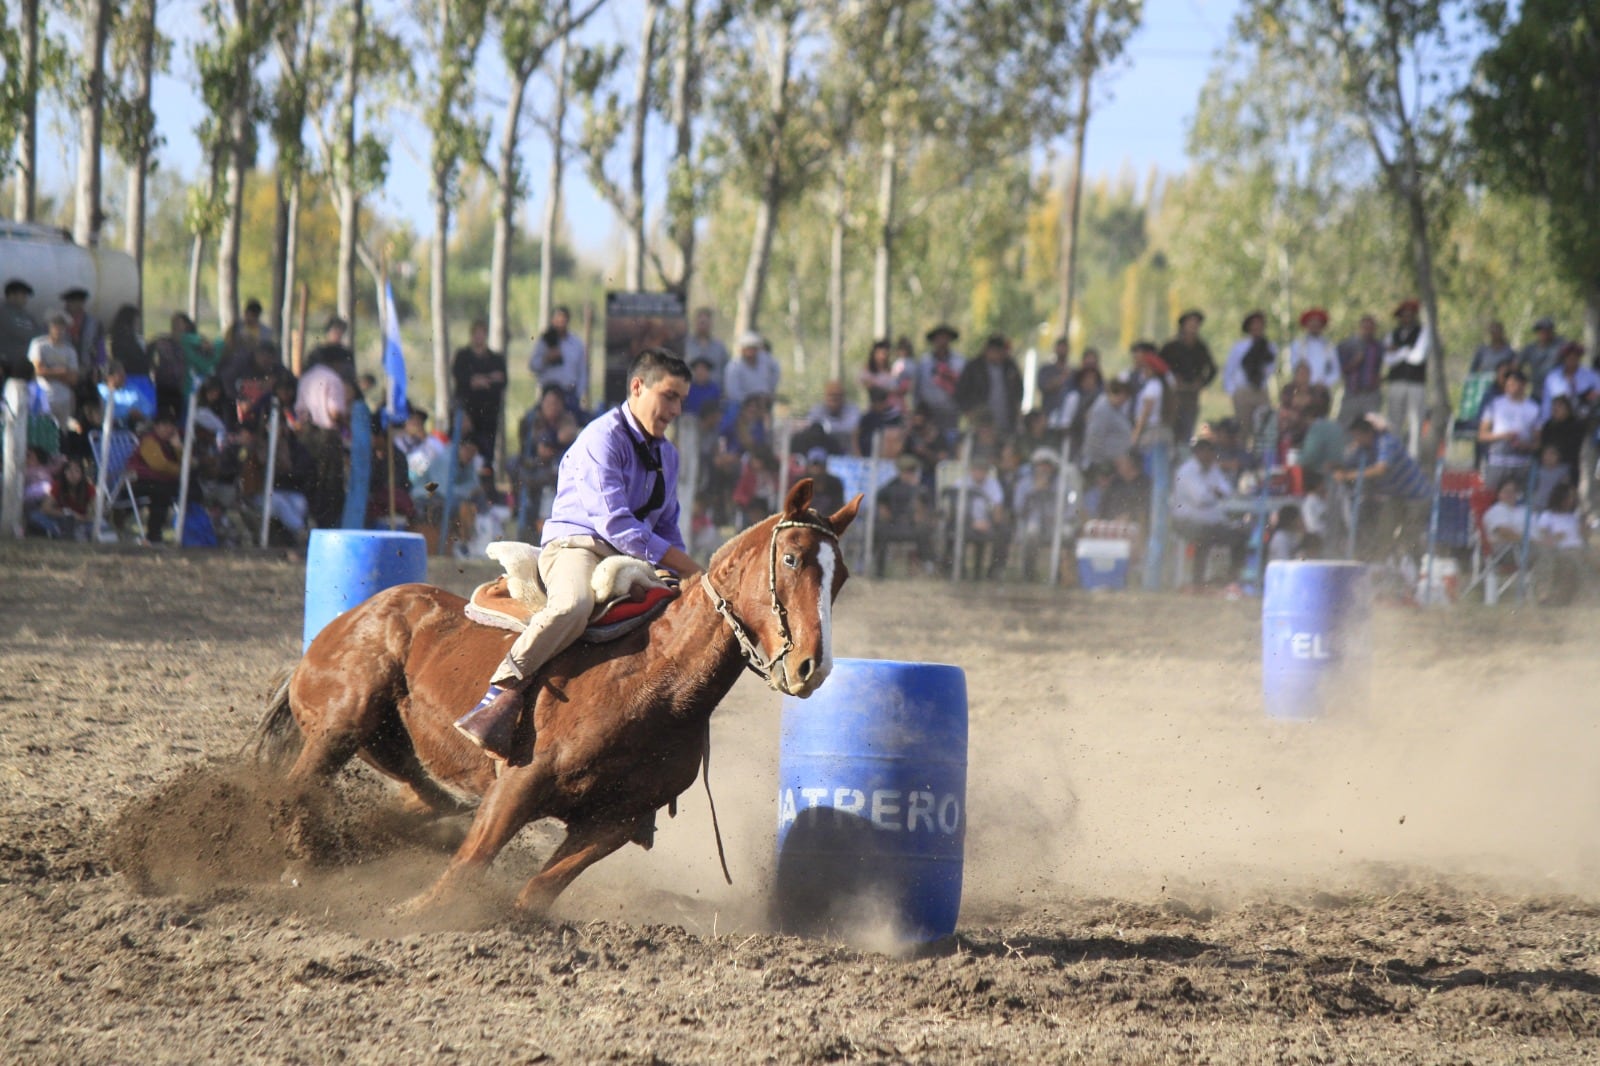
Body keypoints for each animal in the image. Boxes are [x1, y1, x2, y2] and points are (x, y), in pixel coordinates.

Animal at [256, 476, 864, 909]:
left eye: (841, 577)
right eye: (791, 558)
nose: (812, 667)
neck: (658, 681)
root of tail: (355, 616)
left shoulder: (616, 821)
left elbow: (536, 894)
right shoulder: (520, 784)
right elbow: (466, 868)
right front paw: (407, 913)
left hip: (393, 745)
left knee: (420, 796)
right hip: (343, 724)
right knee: (296, 788)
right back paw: (298, 864)